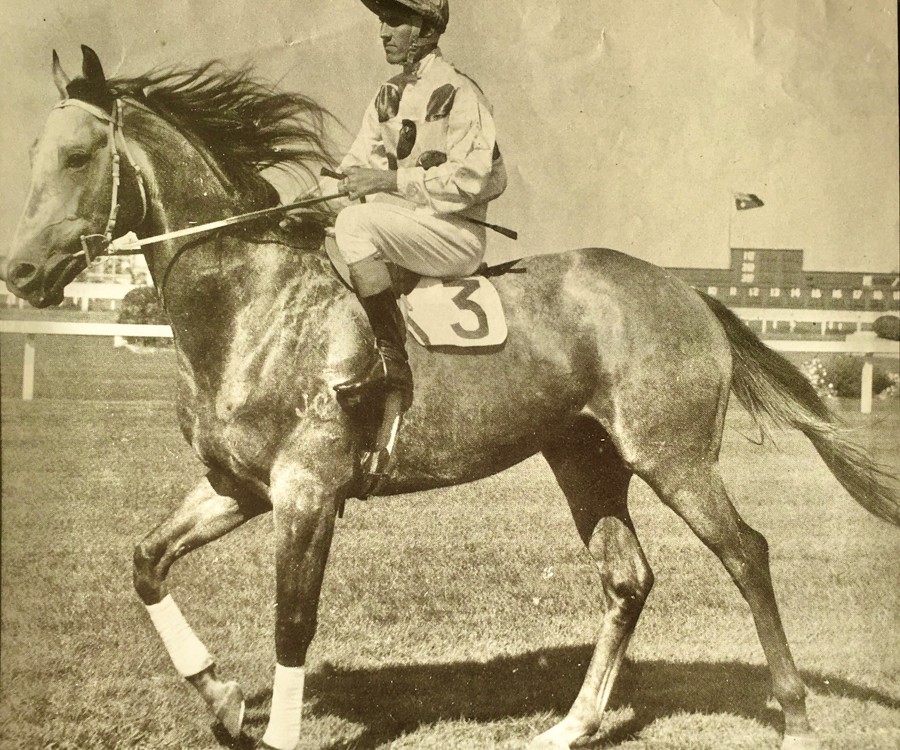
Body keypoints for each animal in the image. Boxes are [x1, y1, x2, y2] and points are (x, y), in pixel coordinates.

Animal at [5, 46, 897, 750]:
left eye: (78, 157)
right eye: (38, 153)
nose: (20, 274)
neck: (253, 300)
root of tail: (688, 292)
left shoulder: (307, 492)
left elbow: (292, 621)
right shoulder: (238, 487)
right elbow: (146, 563)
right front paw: (223, 700)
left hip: (671, 456)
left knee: (746, 552)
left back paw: (795, 715)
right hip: (586, 460)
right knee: (627, 579)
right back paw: (571, 725)